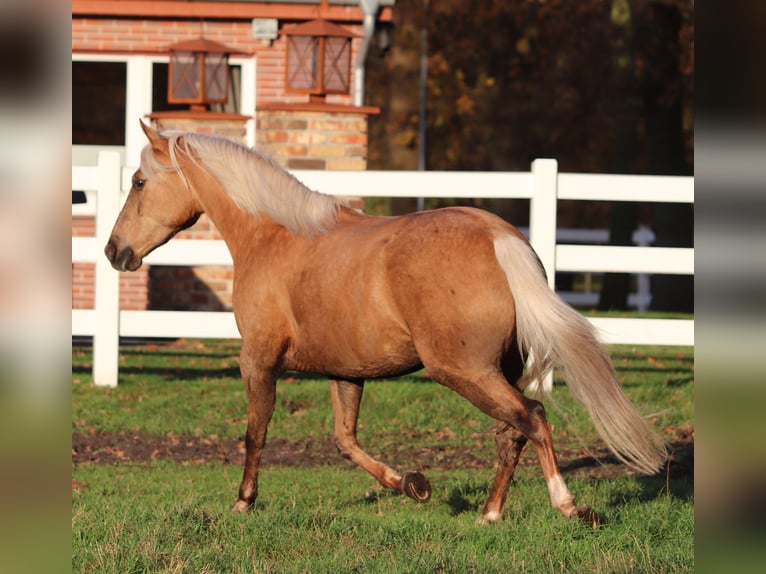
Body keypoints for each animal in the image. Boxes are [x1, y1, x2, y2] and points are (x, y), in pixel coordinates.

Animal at [105, 124, 668, 528]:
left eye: (138, 182)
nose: (114, 252)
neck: (274, 237)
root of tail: (500, 238)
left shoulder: (258, 360)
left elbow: (255, 432)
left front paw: (243, 502)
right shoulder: (344, 372)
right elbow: (345, 441)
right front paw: (413, 484)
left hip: (464, 372)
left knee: (531, 417)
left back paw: (569, 506)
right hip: (496, 371)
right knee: (511, 433)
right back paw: (488, 516)